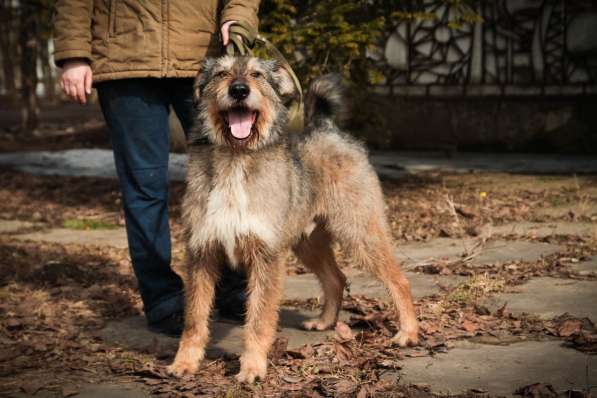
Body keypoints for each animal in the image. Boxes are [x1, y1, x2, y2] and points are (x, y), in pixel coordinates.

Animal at [166, 56, 420, 382]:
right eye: (221, 73)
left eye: (257, 74)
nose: (239, 90)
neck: (236, 158)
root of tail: (327, 129)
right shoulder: (202, 254)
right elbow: (194, 319)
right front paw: (185, 362)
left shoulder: (266, 258)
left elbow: (258, 319)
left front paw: (252, 366)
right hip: (307, 244)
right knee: (336, 278)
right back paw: (324, 322)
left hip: (360, 233)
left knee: (399, 280)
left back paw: (408, 332)